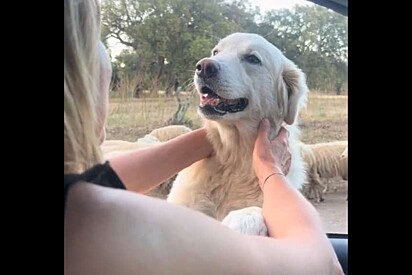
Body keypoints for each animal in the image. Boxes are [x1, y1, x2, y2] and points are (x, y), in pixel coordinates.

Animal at [167, 31, 308, 235]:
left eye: (252, 59)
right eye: (216, 52)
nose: (204, 67)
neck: (233, 157)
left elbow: (254, 211)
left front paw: (241, 220)